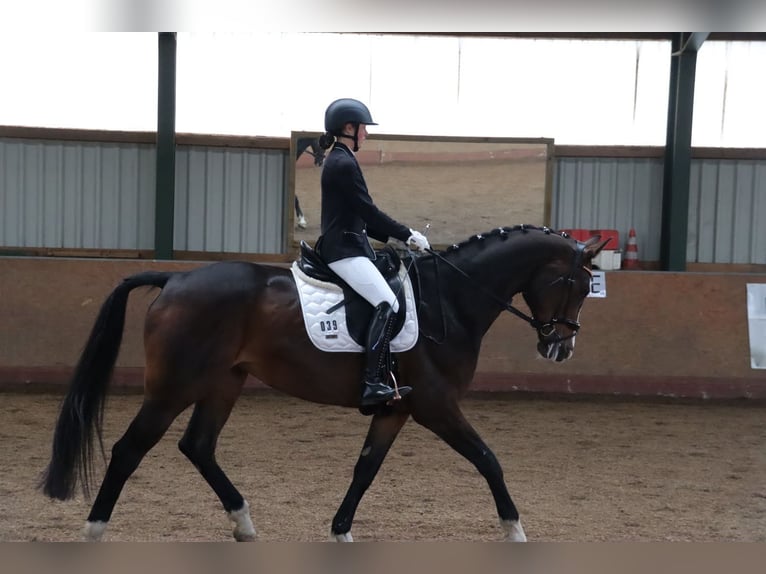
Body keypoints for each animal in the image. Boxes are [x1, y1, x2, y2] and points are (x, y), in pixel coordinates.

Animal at [40, 225, 608, 542]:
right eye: (576, 285)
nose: (560, 348)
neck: (449, 300)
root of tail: (174, 278)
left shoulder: (397, 408)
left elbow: (365, 469)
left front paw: (341, 532)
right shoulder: (436, 405)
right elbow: (488, 459)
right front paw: (516, 530)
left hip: (224, 383)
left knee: (197, 446)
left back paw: (244, 524)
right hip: (173, 387)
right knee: (129, 449)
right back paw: (94, 530)